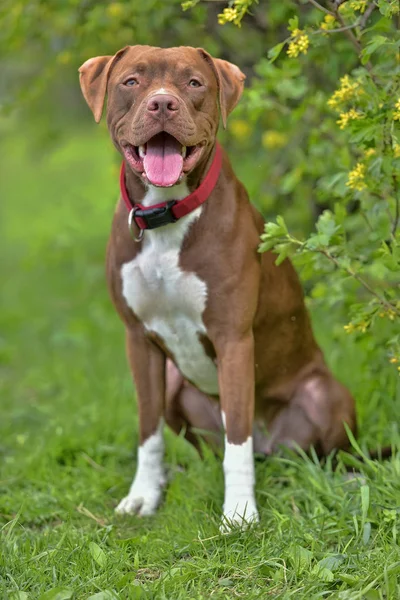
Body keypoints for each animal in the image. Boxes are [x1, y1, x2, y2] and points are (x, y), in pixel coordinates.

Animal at [79, 44, 356, 528]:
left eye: (194, 83)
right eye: (132, 81)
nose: (162, 103)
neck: (166, 216)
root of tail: (274, 448)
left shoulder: (233, 339)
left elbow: (237, 440)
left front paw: (240, 511)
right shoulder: (138, 340)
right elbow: (148, 431)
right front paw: (143, 495)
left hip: (323, 395)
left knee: (316, 451)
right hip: (175, 383)